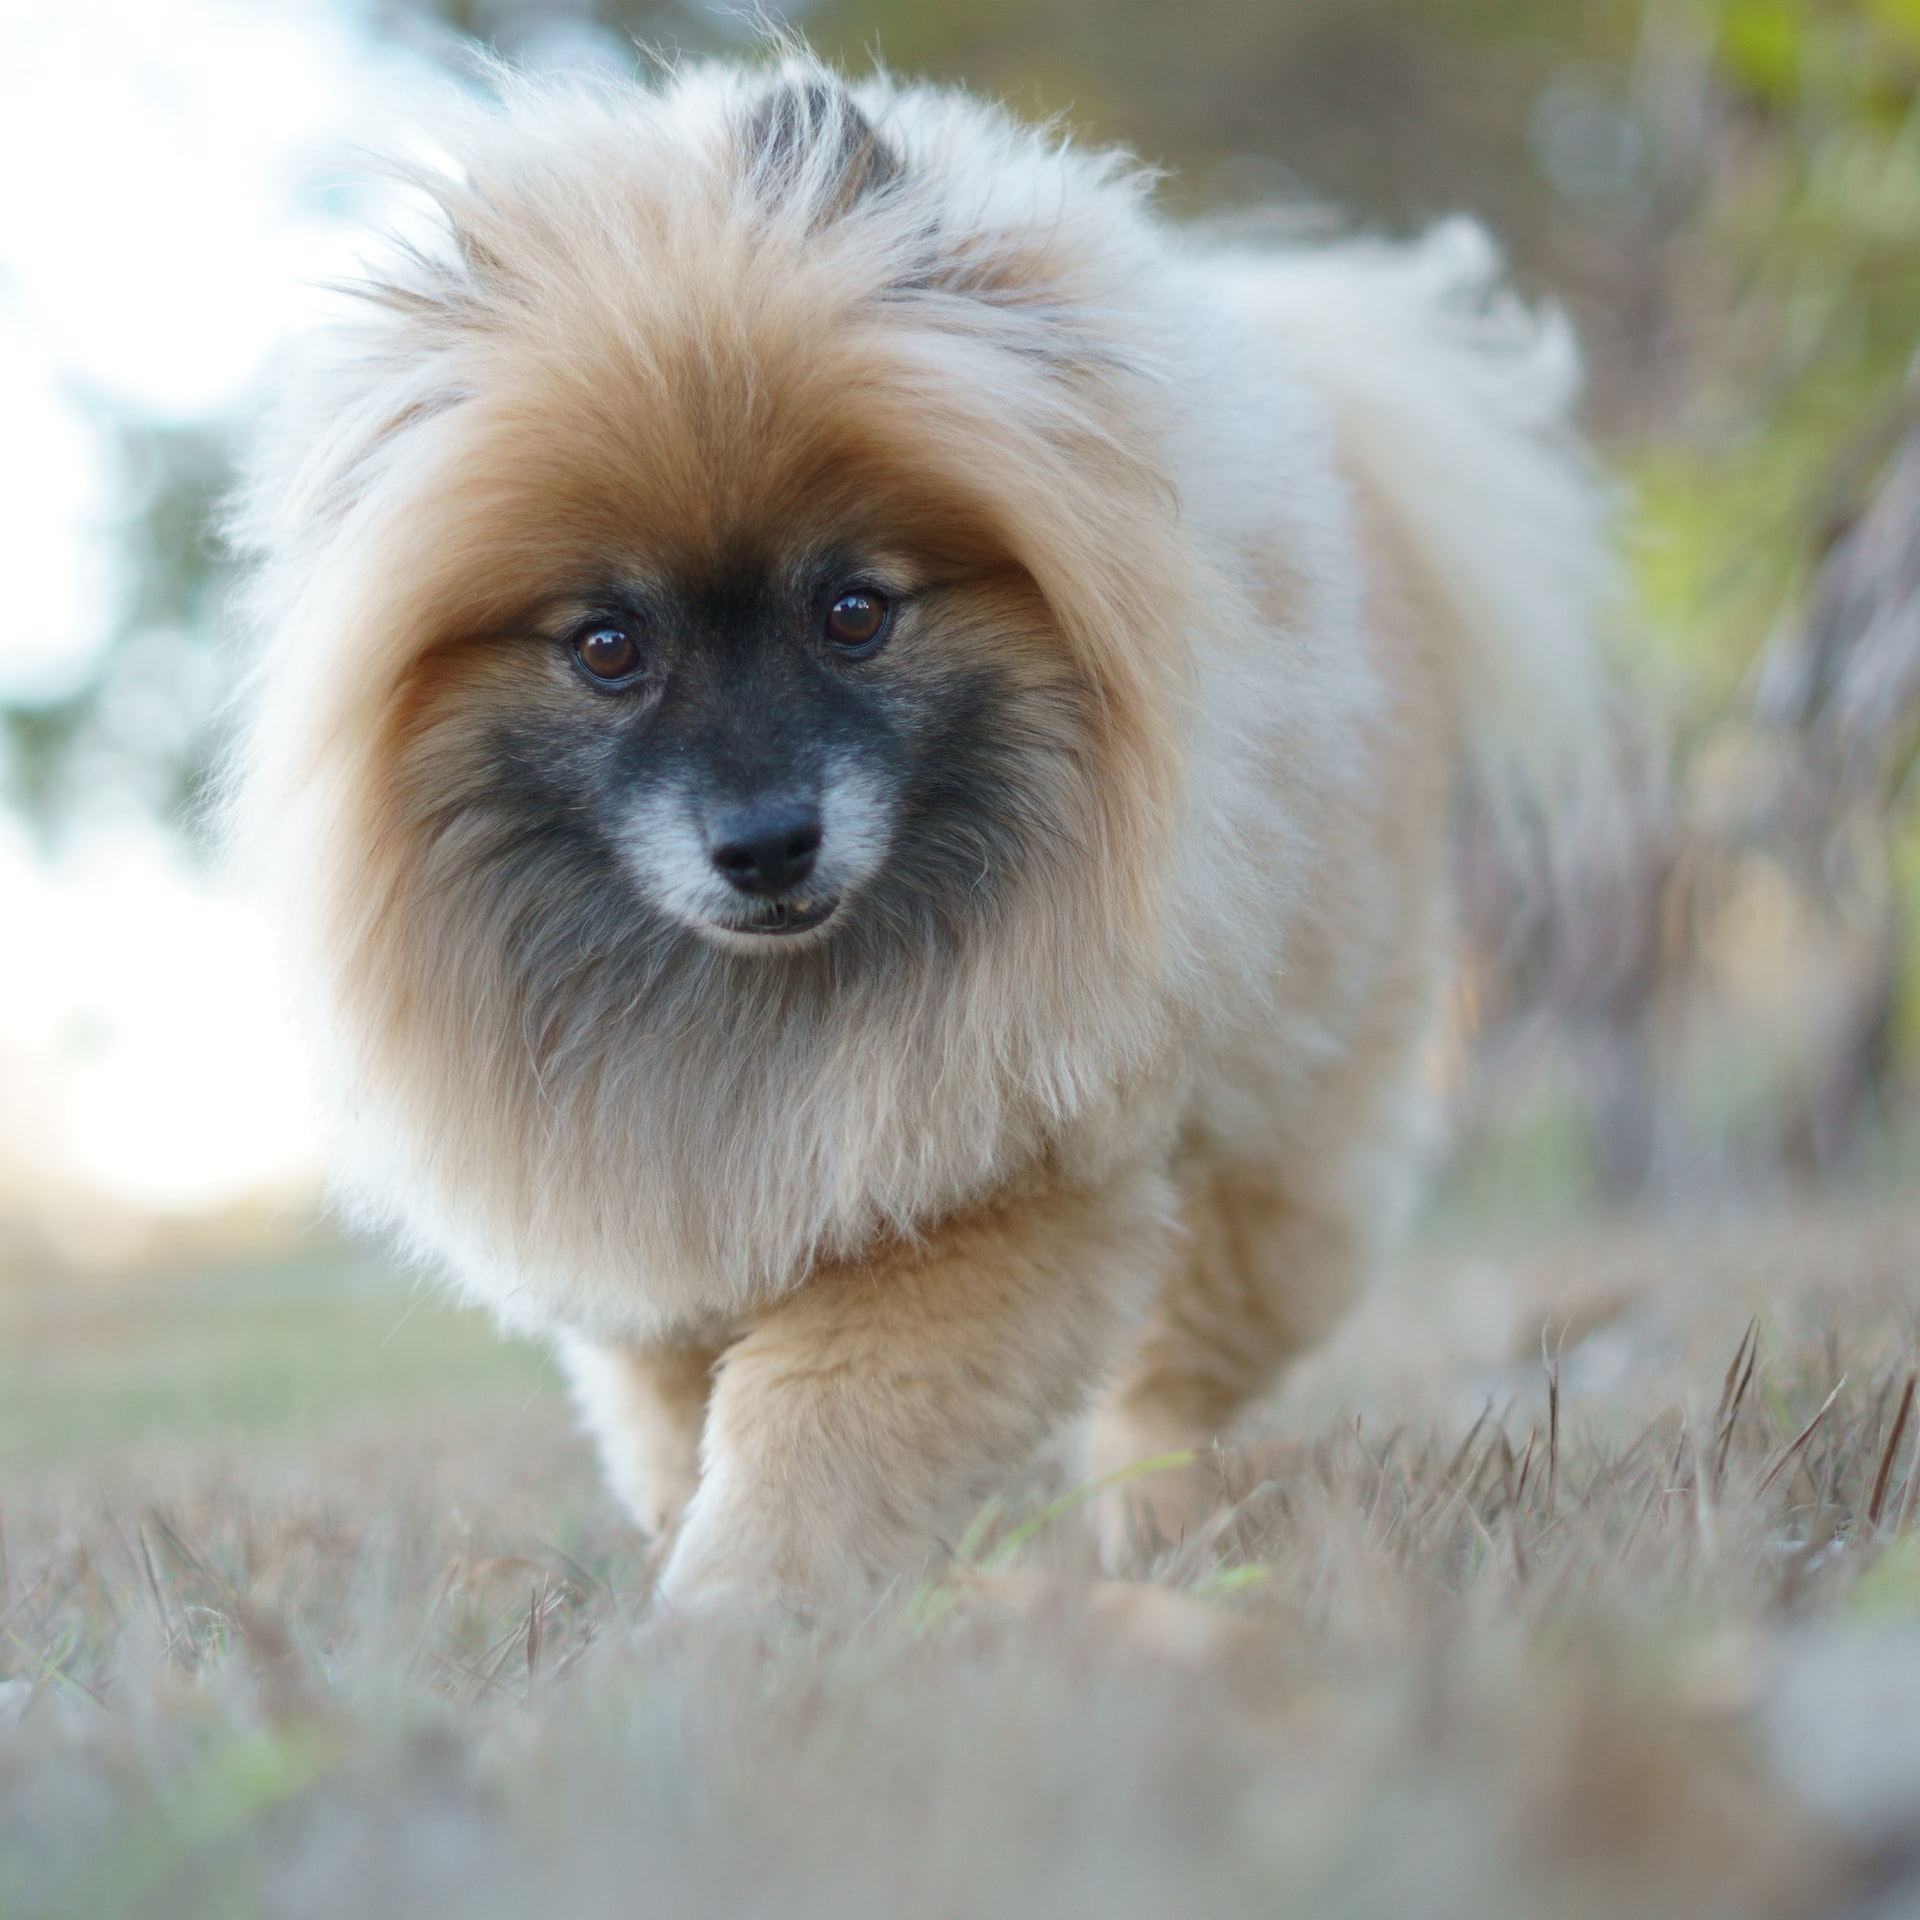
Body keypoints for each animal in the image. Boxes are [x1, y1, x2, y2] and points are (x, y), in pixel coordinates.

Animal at [236, 45, 1620, 1612]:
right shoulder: (654, 1228)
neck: (768, 1008)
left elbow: (809, 1436)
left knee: (1172, 1378)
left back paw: (1155, 1542)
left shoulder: (999, 1190)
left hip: (1278, 1147)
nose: (765, 841)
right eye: (606, 647)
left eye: (854, 613)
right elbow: (673, 1425)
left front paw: (731, 1615)